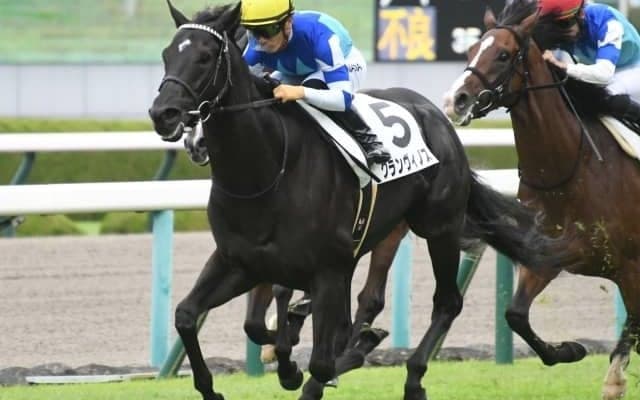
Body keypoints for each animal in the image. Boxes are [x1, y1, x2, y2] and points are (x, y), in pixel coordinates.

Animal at [149, 2, 574, 400]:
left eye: (205, 56)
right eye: (167, 54)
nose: (162, 113)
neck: (266, 172)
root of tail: (437, 117)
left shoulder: (326, 270)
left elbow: (319, 360)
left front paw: (309, 364)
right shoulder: (239, 261)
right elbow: (191, 316)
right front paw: (220, 384)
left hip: (438, 226)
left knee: (446, 302)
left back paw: (409, 375)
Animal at [443, 1, 640, 399]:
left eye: (504, 55)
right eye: (471, 51)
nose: (456, 100)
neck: (569, 170)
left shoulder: (631, 263)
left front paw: (613, 380)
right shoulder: (545, 253)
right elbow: (516, 314)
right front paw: (570, 350)